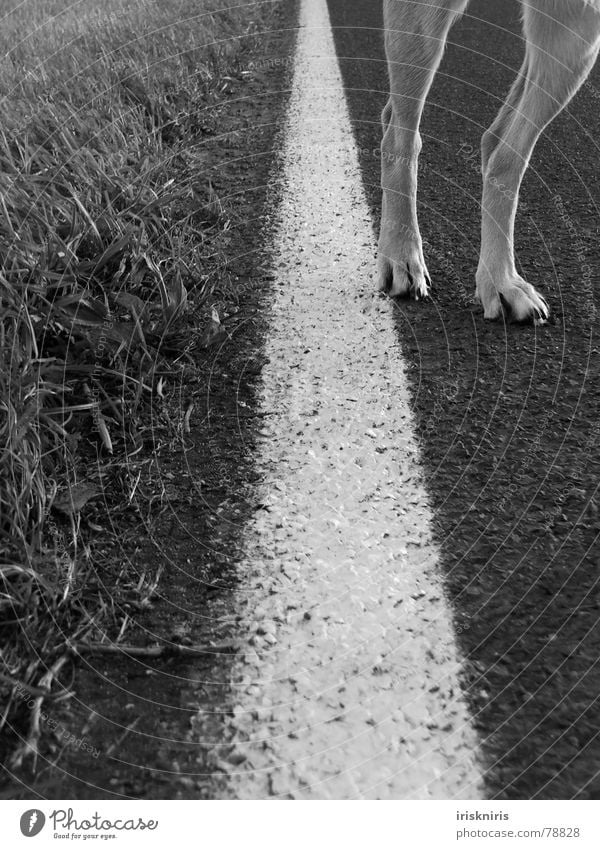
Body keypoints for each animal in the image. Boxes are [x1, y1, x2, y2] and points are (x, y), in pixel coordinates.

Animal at [378, 0, 600, 320]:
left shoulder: (576, 25)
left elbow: (509, 158)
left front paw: (500, 283)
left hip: (574, 32)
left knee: (498, 145)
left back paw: (498, 278)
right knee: (399, 138)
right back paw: (402, 257)